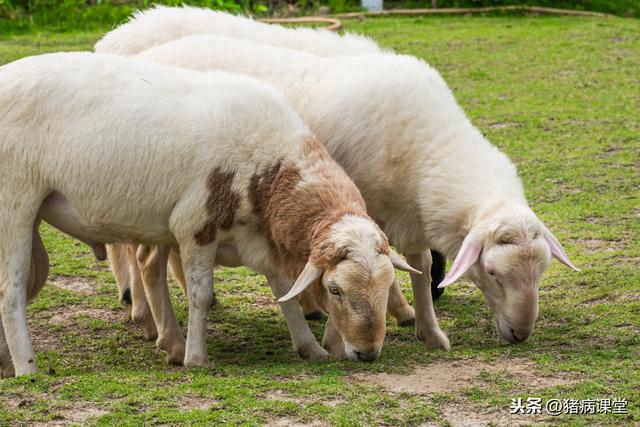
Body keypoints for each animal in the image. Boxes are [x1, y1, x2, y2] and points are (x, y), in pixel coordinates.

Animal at [124, 36, 580, 352]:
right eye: (491, 272)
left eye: (542, 272)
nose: (521, 333)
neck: (425, 145)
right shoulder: (358, 210)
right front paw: (335, 337)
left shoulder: (408, 215)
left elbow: (416, 268)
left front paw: (429, 331)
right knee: (142, 257)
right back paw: (156, 327)